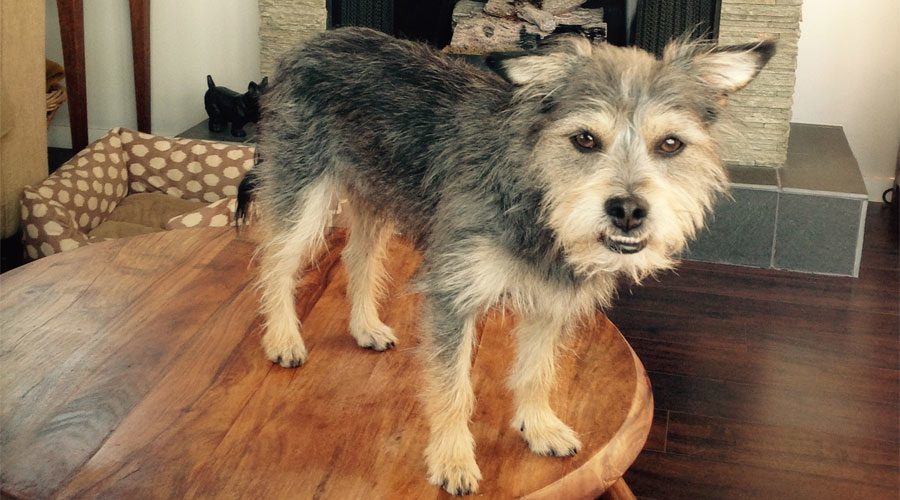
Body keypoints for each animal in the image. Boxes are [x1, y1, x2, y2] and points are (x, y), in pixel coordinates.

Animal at [239, 27, 772, 496]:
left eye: (670, 144)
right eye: (584, 139)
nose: (627, 210)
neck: (538, 202)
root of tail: (313, 42)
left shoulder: (552, 302)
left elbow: (537, 371)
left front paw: (538, 427)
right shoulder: (452, 292)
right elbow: (453, 386)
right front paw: (453, 459)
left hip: (376, 196)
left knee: (358, 257)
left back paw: (365, 326)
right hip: (304, 194)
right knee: (275, 264)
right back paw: (283, 338)